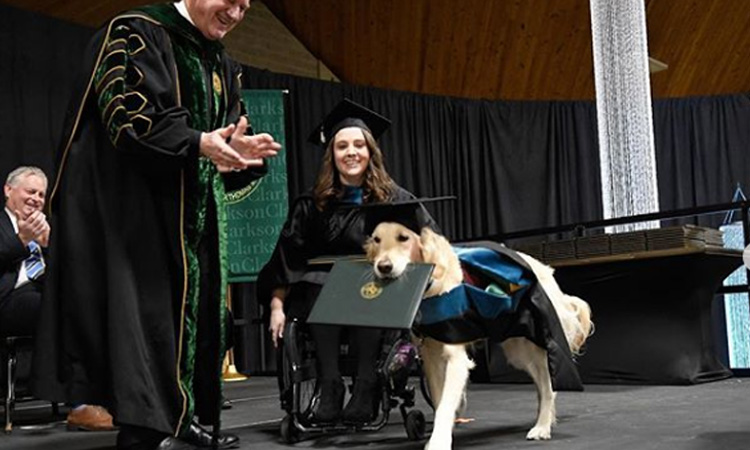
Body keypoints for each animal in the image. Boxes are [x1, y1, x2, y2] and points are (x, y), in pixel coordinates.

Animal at [364, 222, 592, 450]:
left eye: (403, 238)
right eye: (376, 240)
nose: (383, 267)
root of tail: (545, 269)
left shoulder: (456, 358)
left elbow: (445, 403)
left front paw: (438, 442)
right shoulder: (431, 357)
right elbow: (439, 400)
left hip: (530, 346)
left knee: (548, 387)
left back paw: (542, 427)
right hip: (517, 348)